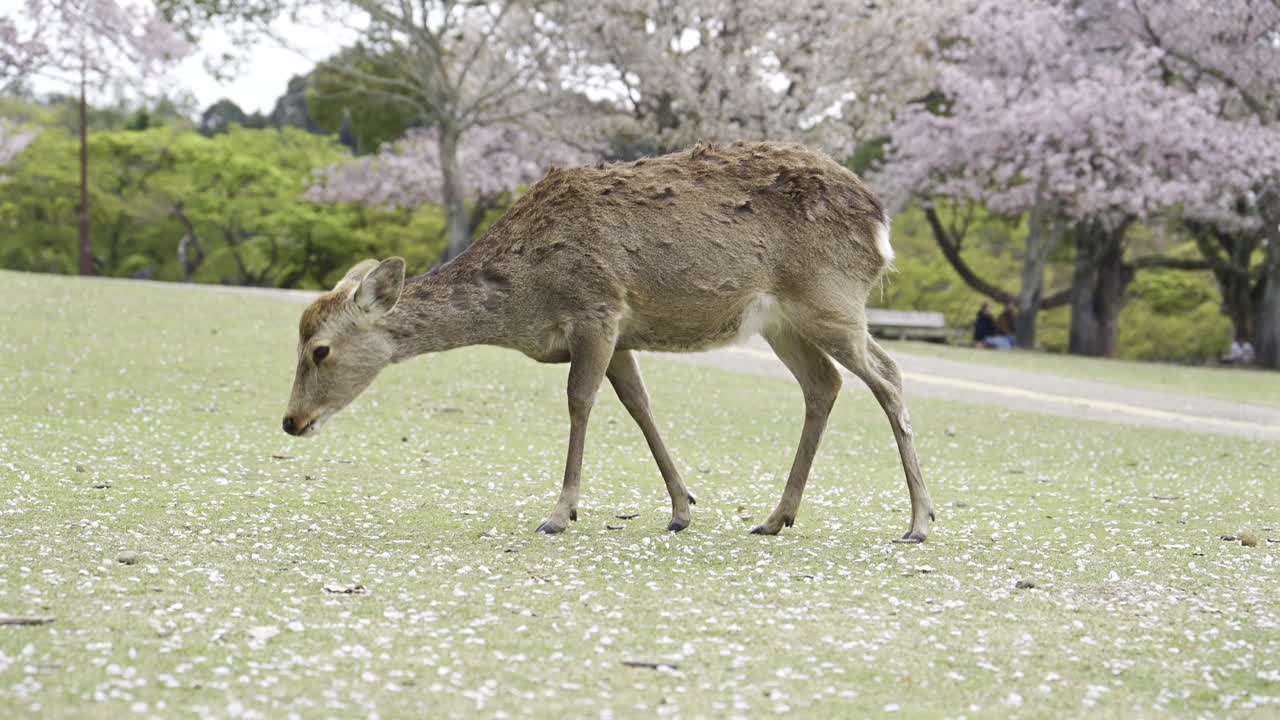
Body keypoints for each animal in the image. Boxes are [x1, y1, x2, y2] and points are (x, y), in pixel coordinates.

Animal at [282, 140, 935, 542]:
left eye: (320, 349)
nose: (291, 421)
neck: (524, 300)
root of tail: (880, 223)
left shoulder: (596, 309)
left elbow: (580, 402)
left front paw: (559, 513)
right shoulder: (620, 334)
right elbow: (639, 405)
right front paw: (681, 510)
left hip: (832, 298)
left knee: (888, 373)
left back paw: (920, 521)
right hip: (781, 323)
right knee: (824, 383)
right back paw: (775, 518)